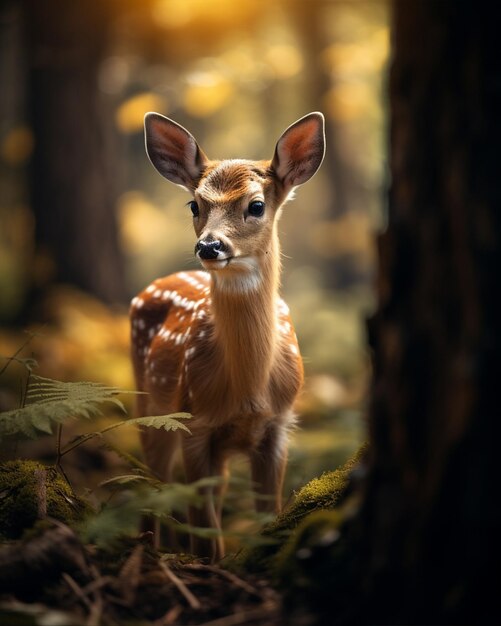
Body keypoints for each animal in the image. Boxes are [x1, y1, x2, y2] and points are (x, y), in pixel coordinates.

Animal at [130, 109, 324, 560]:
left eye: (256, 205)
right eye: (194, 203)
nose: (209, 246)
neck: (248, 390)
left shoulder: (279, 425)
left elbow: (268, 514)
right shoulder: (193, 422)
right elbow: (206, 535)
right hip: (151, 409)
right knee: (153, 486)